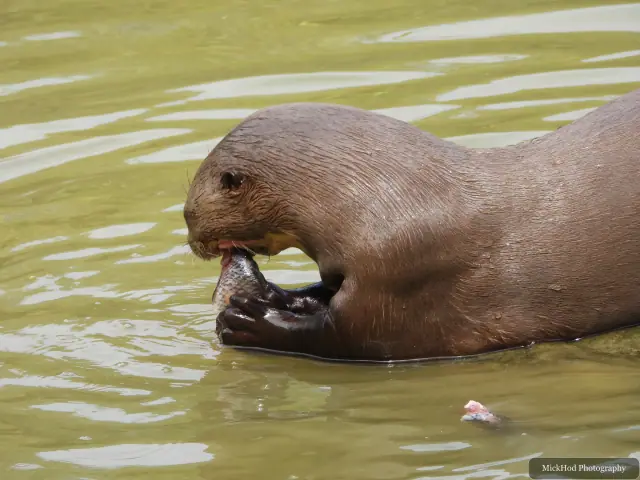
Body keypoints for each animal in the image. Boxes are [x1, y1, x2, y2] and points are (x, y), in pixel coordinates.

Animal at [184, 88, 640, 362]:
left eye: (188, 214)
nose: (191, 241)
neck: (388, 200)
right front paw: (277, 295)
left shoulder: (402, 280)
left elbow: (347, 338)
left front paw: (250, 322)